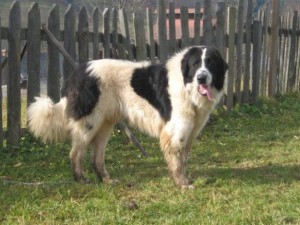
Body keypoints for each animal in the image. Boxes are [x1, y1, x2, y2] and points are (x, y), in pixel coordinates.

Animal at [27, 45, 227, 188]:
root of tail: (81, 70)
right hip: (89, 123)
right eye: (195, 65)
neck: (187, 86)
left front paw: (183, 180)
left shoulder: (190, 131)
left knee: (96, 157)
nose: (201, 78)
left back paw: (107, 180)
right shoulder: (176, 131)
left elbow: (183, 159)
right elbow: (177, 162)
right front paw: (182, 184)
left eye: (210, 64)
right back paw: (81, 180)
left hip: (105, 125)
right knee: (76, 153)